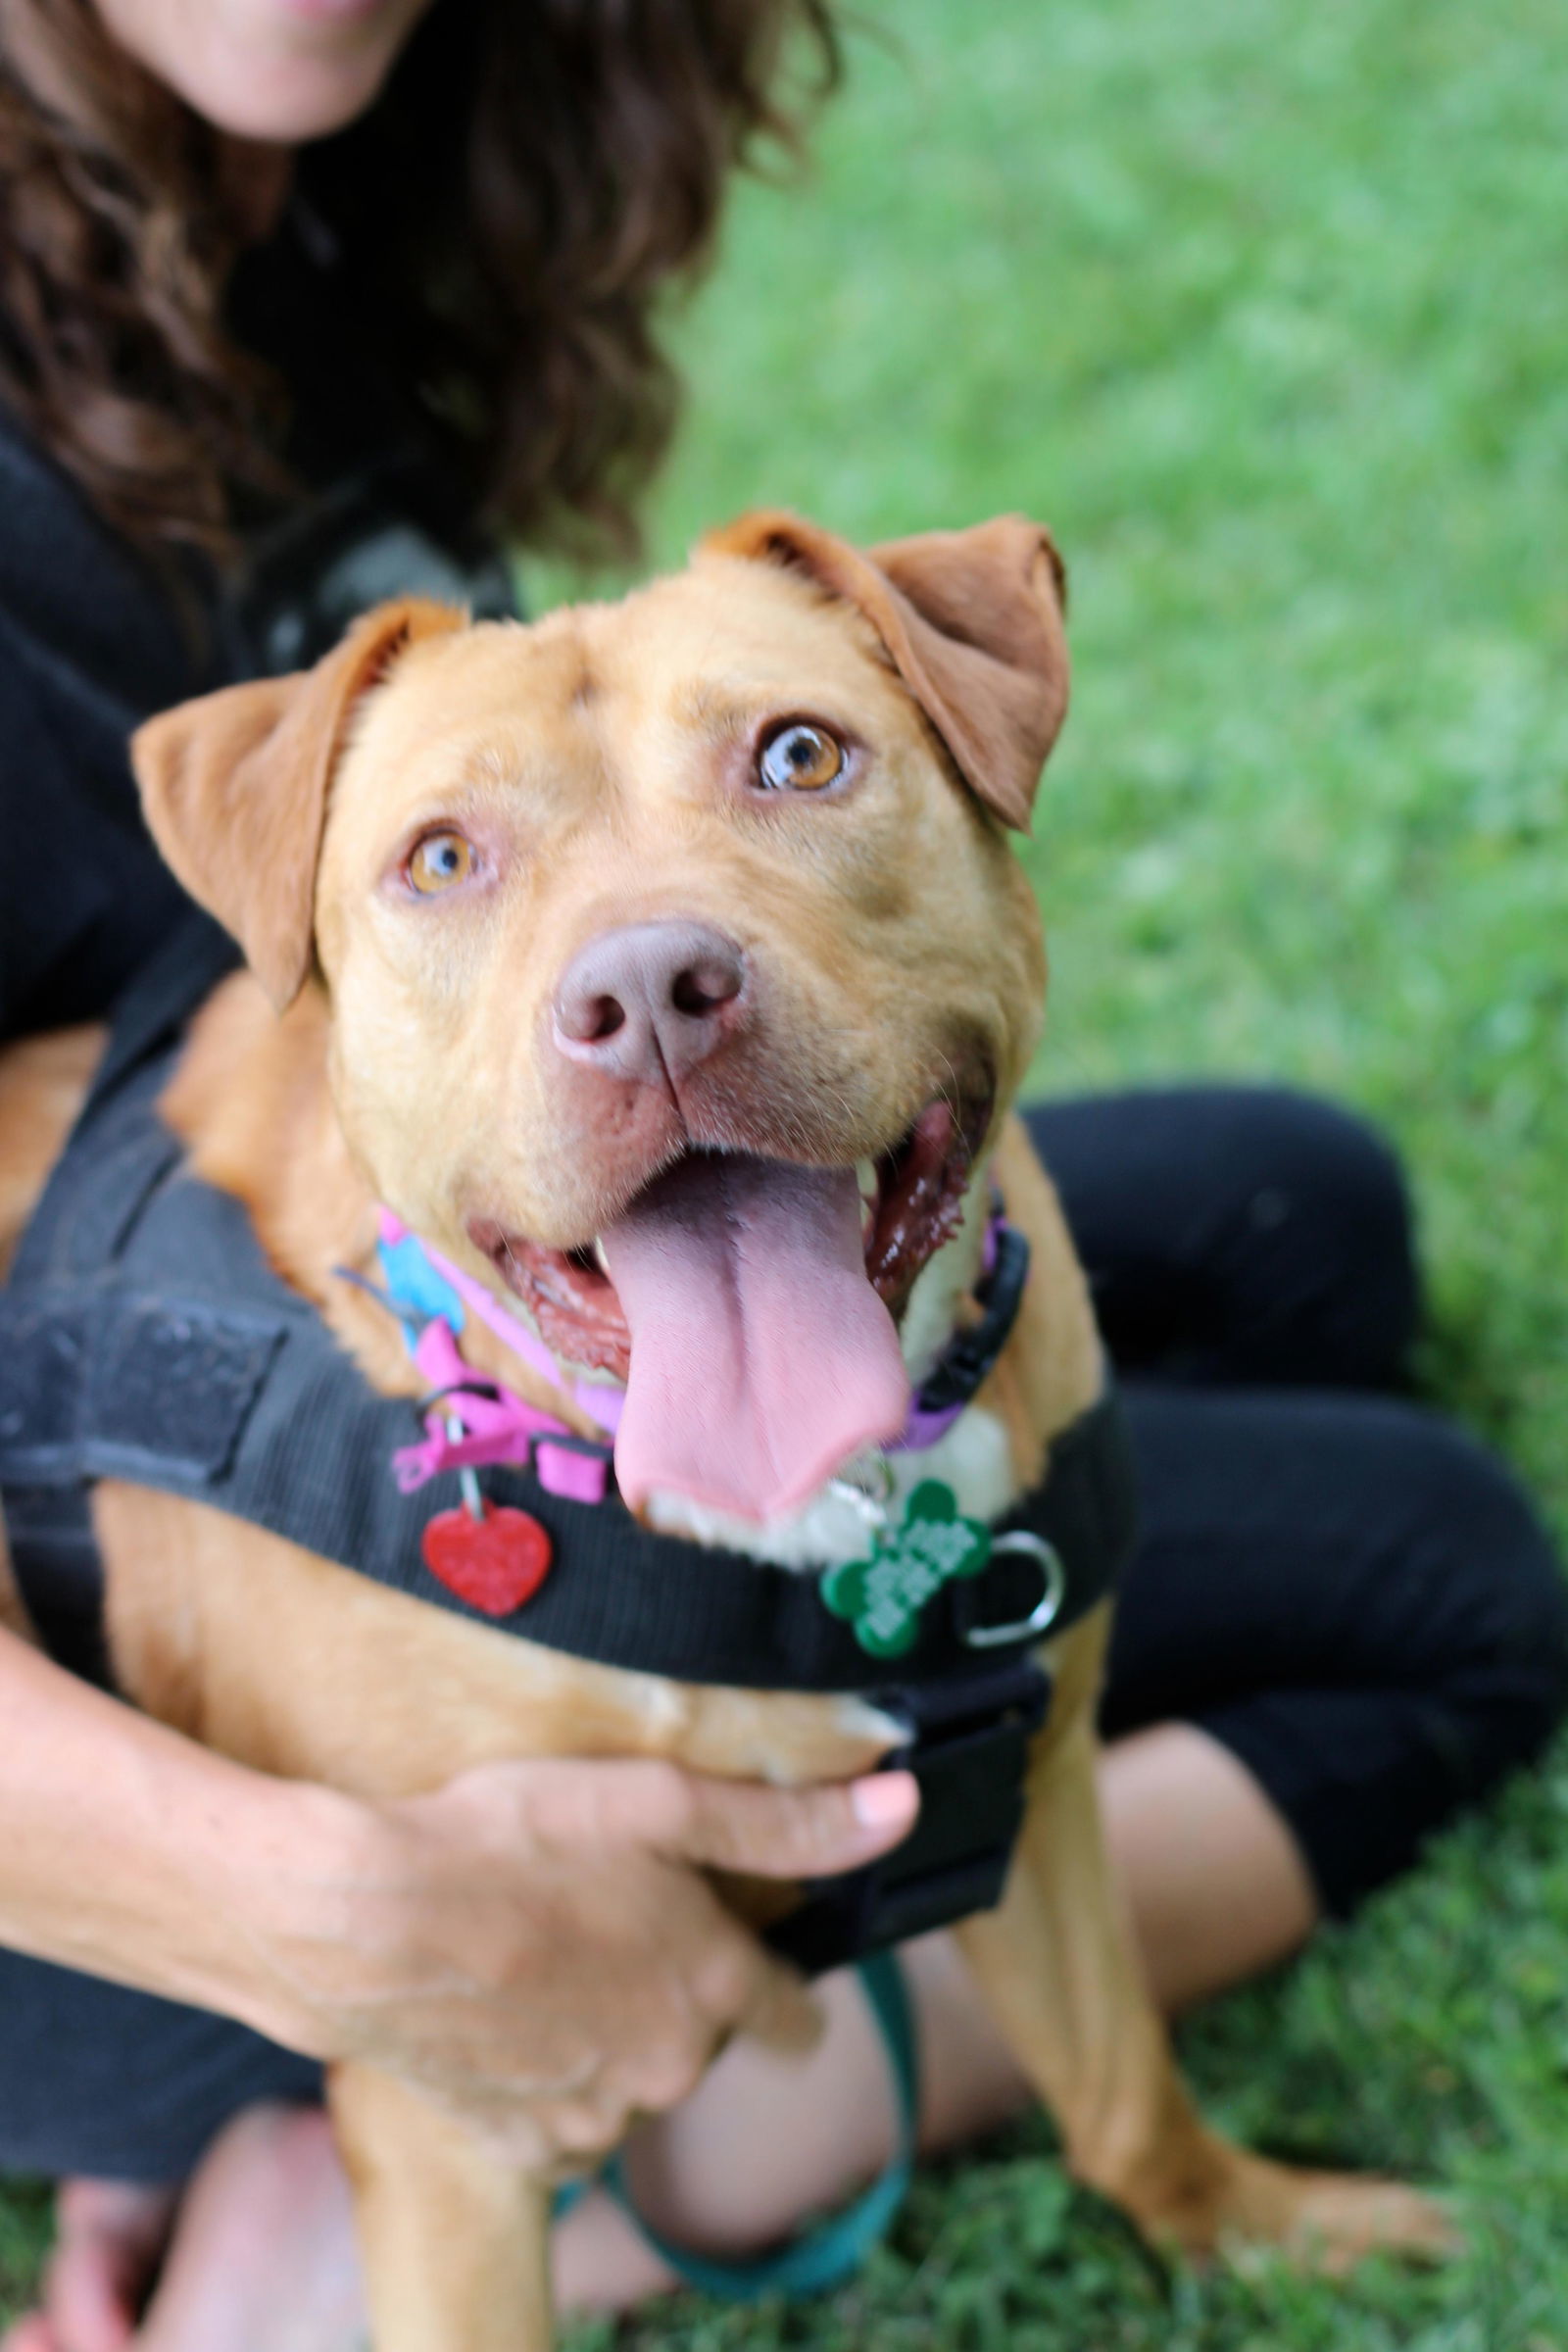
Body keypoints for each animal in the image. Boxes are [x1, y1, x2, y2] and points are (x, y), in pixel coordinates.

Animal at [0, 519, 1447, 2352]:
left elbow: (1123, 2088)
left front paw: (1260, 2234)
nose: (647, 993)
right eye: (443, 857)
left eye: (800, 755)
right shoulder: (462, 2078)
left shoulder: (1033, 1790)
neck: (815, 1514)